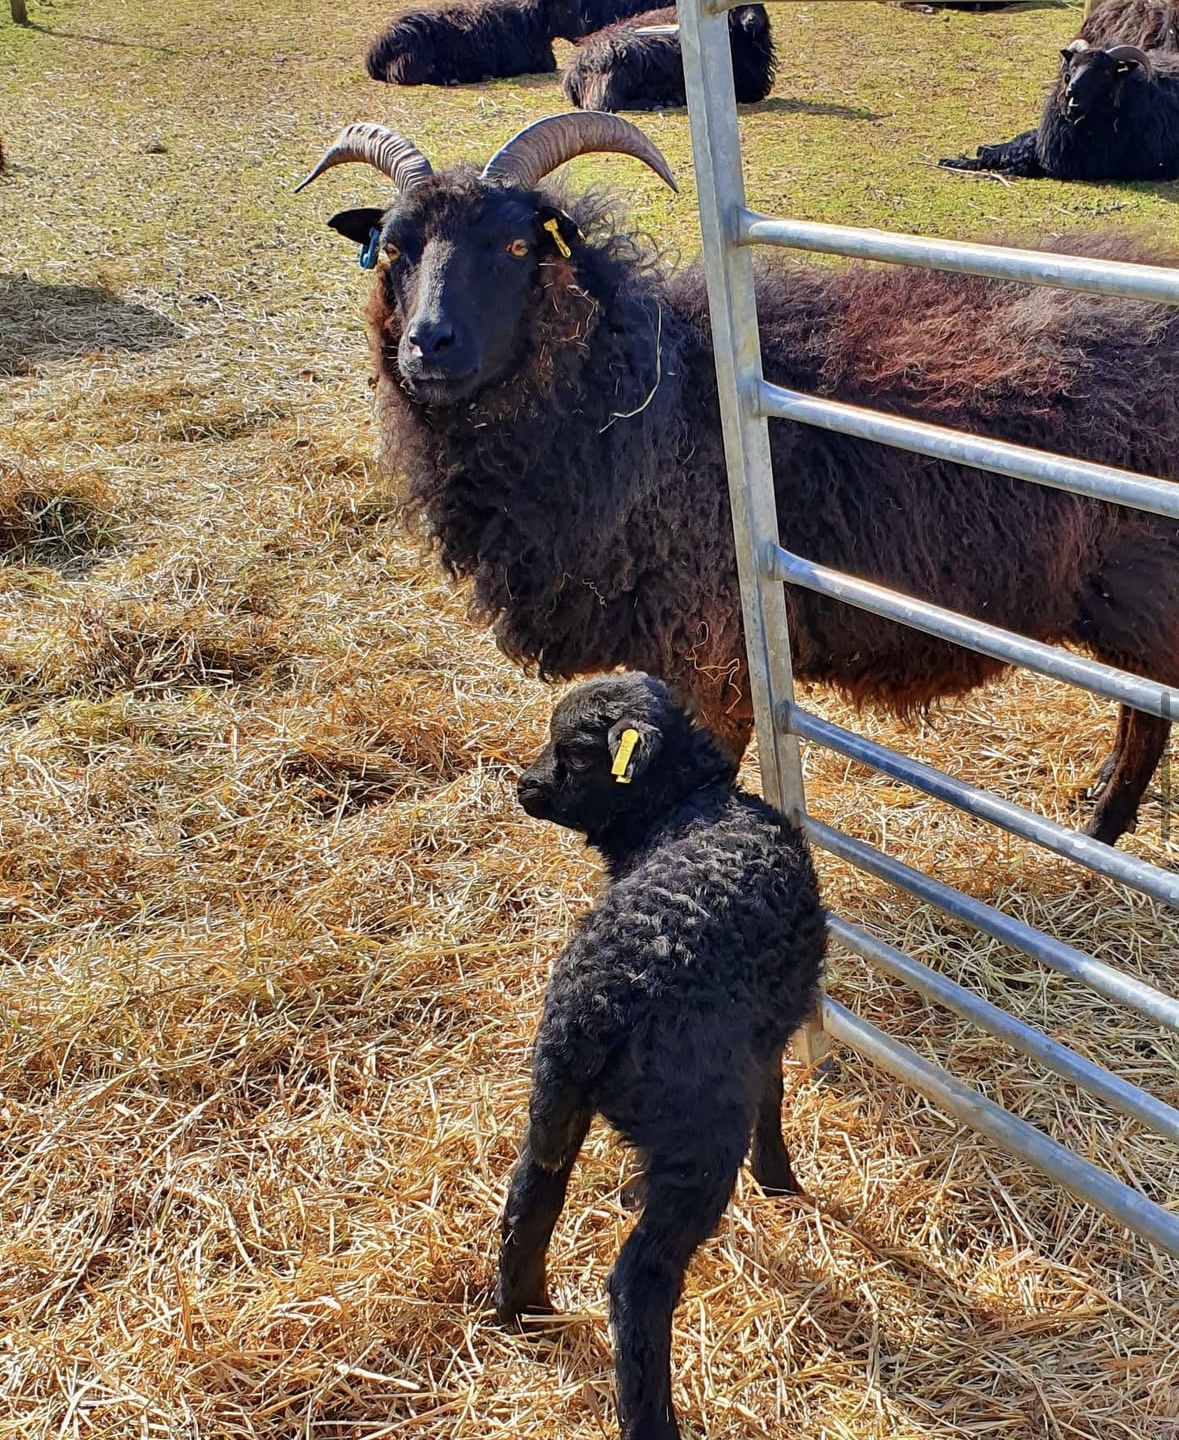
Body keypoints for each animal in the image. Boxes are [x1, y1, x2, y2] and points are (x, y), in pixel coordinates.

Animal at [297, 113, 1179, 847]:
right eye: (396, 248)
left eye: (518, 248)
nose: (427, 345)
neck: (644, 394)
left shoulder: (707, 648)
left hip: (1137, 588)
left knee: (1149, 706)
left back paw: (1102, 827)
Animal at [496, 672, 826, 1440]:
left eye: (573, 753)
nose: (524, 786)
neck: (688, 809)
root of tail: (594, 1003)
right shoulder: (766, 1035)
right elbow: (773, 1096)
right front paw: (779, 1179)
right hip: (696, 1135)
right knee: (638, 1282)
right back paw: (652, 1418)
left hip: (554, 1095)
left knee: (531, 1192)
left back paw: (523, 1313)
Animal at [939, 40, 1179, 179]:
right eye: (1073, 66)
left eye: (1104, 71)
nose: (1072, 89)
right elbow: (1019, 144)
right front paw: (964, 157)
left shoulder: (1076, 163)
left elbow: (1021, 156)